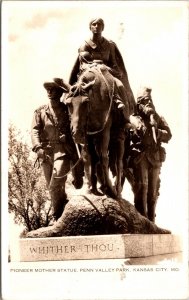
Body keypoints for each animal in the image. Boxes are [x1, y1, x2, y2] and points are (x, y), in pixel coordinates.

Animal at [63, 63, 125, 199]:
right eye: (68, 104)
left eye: (86, 102)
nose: (76, 133)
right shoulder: (87, 135)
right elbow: (88, 158)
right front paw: (89, 188)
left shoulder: (105, 131)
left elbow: (104, 157)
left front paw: (110, 189)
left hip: (119, 135)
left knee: (118, 162)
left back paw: (116, 190)